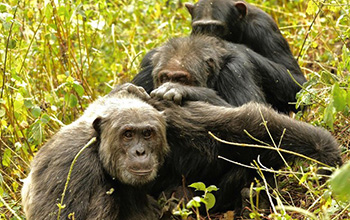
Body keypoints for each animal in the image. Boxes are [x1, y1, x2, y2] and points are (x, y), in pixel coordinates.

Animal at [134, 35, 306, 113]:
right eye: (164, 77)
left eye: (181, 78)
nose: (168, 82)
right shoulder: (147, 70)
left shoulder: (236, 70)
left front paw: (179, 89)